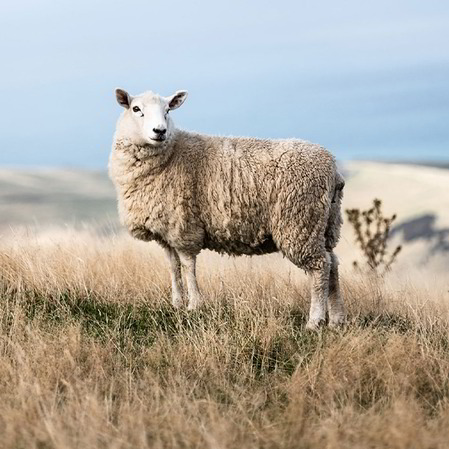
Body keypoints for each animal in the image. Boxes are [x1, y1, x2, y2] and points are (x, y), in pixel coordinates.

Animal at [109, 87, 346, 328]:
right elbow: (173, 267)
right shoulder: (166, 232)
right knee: (332, 264)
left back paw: (314, 321)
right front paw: (176, 303)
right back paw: (336, 319)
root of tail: (332, 169)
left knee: (319, 267)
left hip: (300, 222)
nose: (160, 131)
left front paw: (194, 305)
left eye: (167, 110)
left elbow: (188, 266)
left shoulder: (184, 227)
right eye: (136, 109)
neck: (172, 153)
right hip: (324, 224)